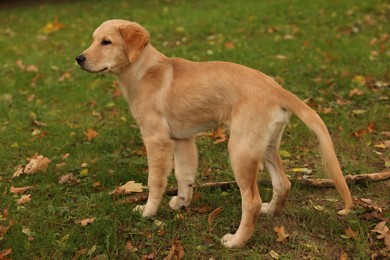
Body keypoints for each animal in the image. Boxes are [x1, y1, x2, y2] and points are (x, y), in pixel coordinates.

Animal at [77, 18, 354, 248]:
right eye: (93, 39)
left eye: (106, 42)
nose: (79, 58)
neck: (143, 71)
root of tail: (278, 90)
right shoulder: (183, 139)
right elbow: (184, 176)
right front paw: (182, 203)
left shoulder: (157, 139)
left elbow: (155, 181)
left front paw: (147, 212)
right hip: (265, 145)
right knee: (283, 183)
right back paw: (271, 211)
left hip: (240, 149)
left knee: (251, 201)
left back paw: (236, 241)